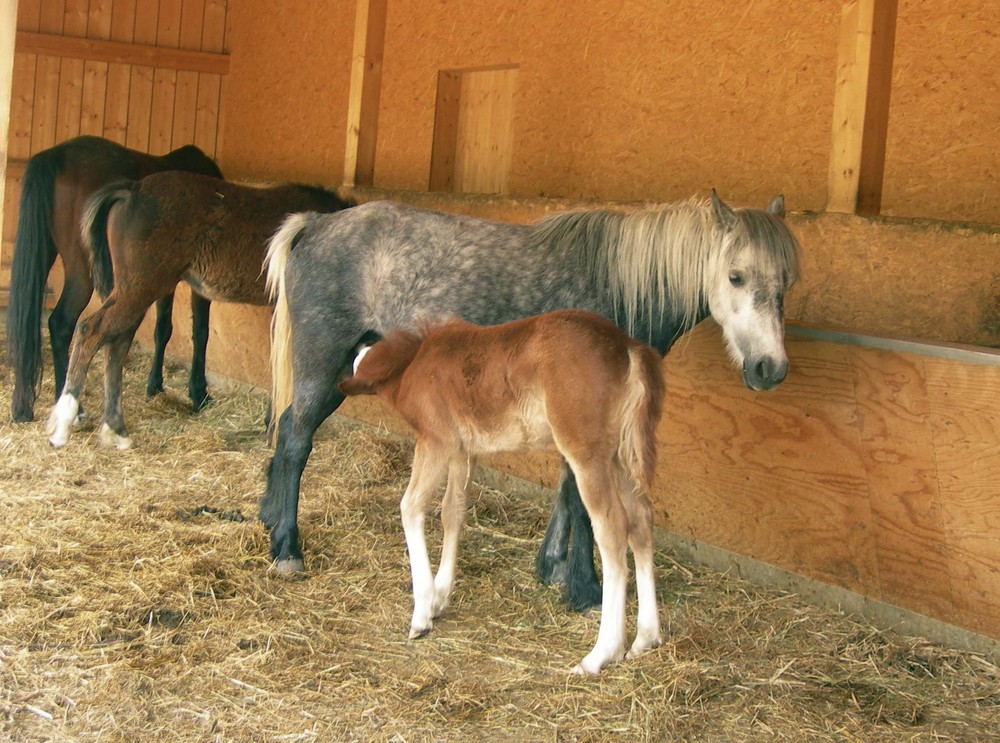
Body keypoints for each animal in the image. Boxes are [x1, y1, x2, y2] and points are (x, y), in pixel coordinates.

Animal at [4, 136, 224, 422]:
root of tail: (57, 155)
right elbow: (200, 332)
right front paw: (199, 392)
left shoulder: (163, 278)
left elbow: (163, 329)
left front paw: (155, 385)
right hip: (81, 272)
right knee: (61, 324)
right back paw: (73, 409)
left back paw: (23, 408)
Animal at [47, 172, 354, 450]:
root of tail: (132, 190)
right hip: (140, 288)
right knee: (91, 331)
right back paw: (63, 426)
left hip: (134, 290)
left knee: (117, 343)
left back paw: (115, 430)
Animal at [264, 192, 796, 612]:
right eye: (735, 276)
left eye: (785, 283)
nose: (769, 369)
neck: (616, 288)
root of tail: (317, 224)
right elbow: (581, 500)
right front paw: (585, 588)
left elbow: (567, 489)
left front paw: (554, 568)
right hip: (323, 363)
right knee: (295, 439)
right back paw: (287, 549)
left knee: (288, 428)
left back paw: (268, 516)